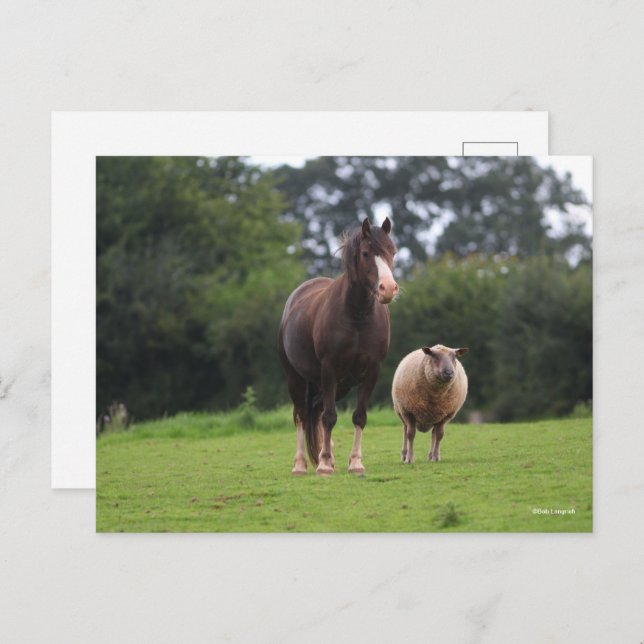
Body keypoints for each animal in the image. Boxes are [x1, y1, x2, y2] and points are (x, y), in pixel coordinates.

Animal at [277, 217, 398, 475]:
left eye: (392, 251)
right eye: (365, 253)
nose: (388, 288)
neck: (357, 316)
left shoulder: (371, 371)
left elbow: (358, 416)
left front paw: (355, 463)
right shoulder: (329, 368)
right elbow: (330, 417)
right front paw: (323, 465)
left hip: (341, 384)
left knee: (316, 409)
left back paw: (328, 455)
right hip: (297, 377)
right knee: (302, 414)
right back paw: (301, 464)